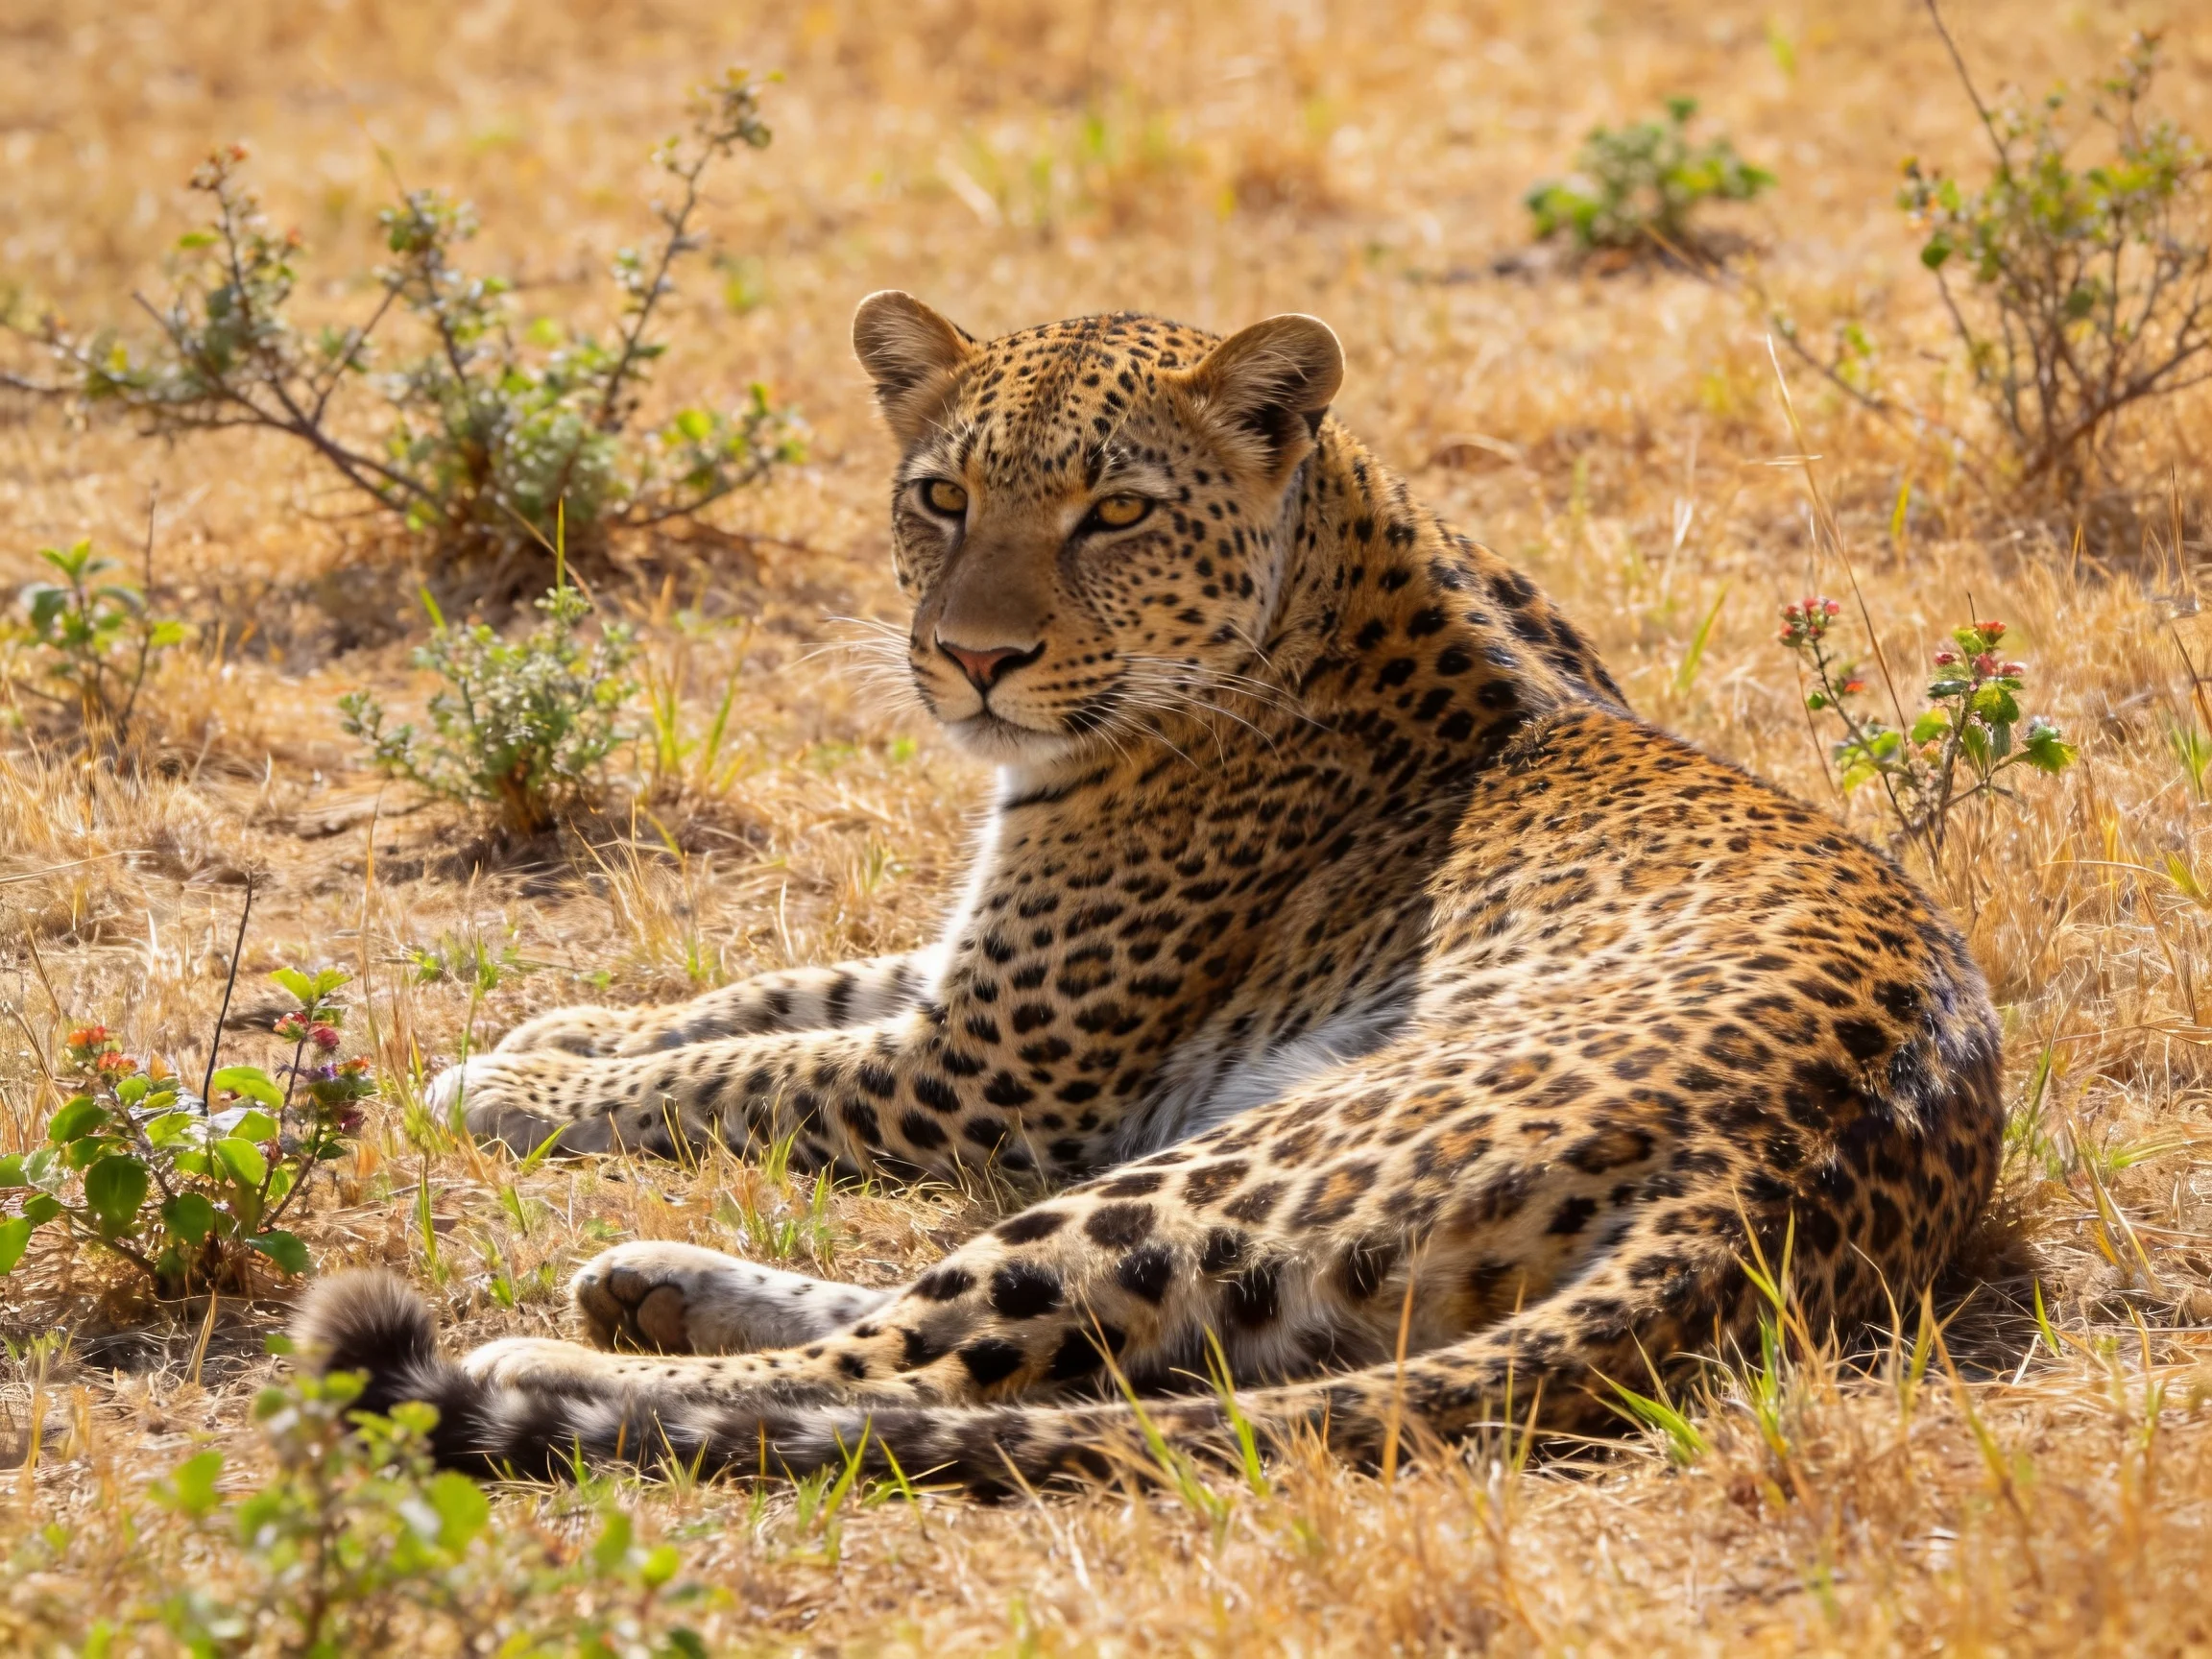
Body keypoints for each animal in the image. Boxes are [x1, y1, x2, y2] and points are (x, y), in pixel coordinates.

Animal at [300, 293, 2003, 1495]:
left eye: (1113, 511)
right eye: (940, 496)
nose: (974, 658)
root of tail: (1772, 1179)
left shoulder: (993, 1071)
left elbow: (749, 1071)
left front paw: (505, 1088)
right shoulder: (964, 985)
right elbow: (768, 997)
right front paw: (555, 1034)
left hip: (1228, 1160)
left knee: (912, 1374)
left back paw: (546, 1352)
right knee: (1019, 1352)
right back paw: (645, 1283)